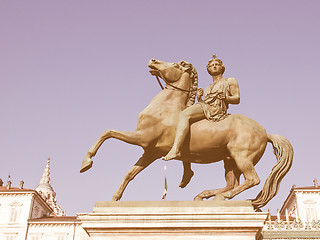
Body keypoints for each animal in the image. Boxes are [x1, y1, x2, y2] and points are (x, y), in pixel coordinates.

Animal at [80, 58, 292, 210]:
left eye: (175, 64)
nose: (153, 60)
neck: (164, 108)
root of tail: (265, 132)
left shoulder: (142, 138)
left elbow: (108, 132)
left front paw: (86, 163)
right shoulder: (150, 152)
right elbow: (130, 173)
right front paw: (114, 198)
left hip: (241, 156)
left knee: (252, 180)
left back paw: (220, 197)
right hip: (230, 160)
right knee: (232, 183)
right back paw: (205, 195)